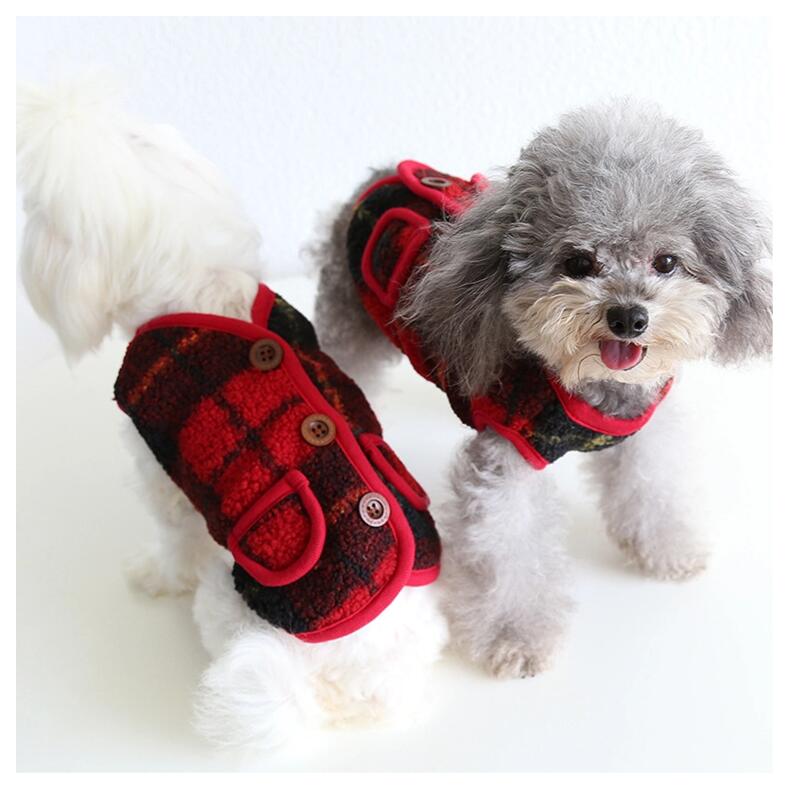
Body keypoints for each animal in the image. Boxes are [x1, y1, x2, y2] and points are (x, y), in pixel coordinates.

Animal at [17, 78, 448, 751]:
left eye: (34, 208)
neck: (199, 284)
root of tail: (363, 687)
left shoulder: (162, 475)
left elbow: (173, 539)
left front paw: (155, 574)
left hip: (233, 597)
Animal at [314, 100, 772, 678]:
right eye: (578, 262)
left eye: (666, 262)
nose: (628, 317)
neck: (585, 385)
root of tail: (377, 177)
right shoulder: (506, 456)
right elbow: (509, 551)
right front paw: (515, 638)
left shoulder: (640, 433)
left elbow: (653, 488)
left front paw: (669, 549)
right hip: (349, 323)